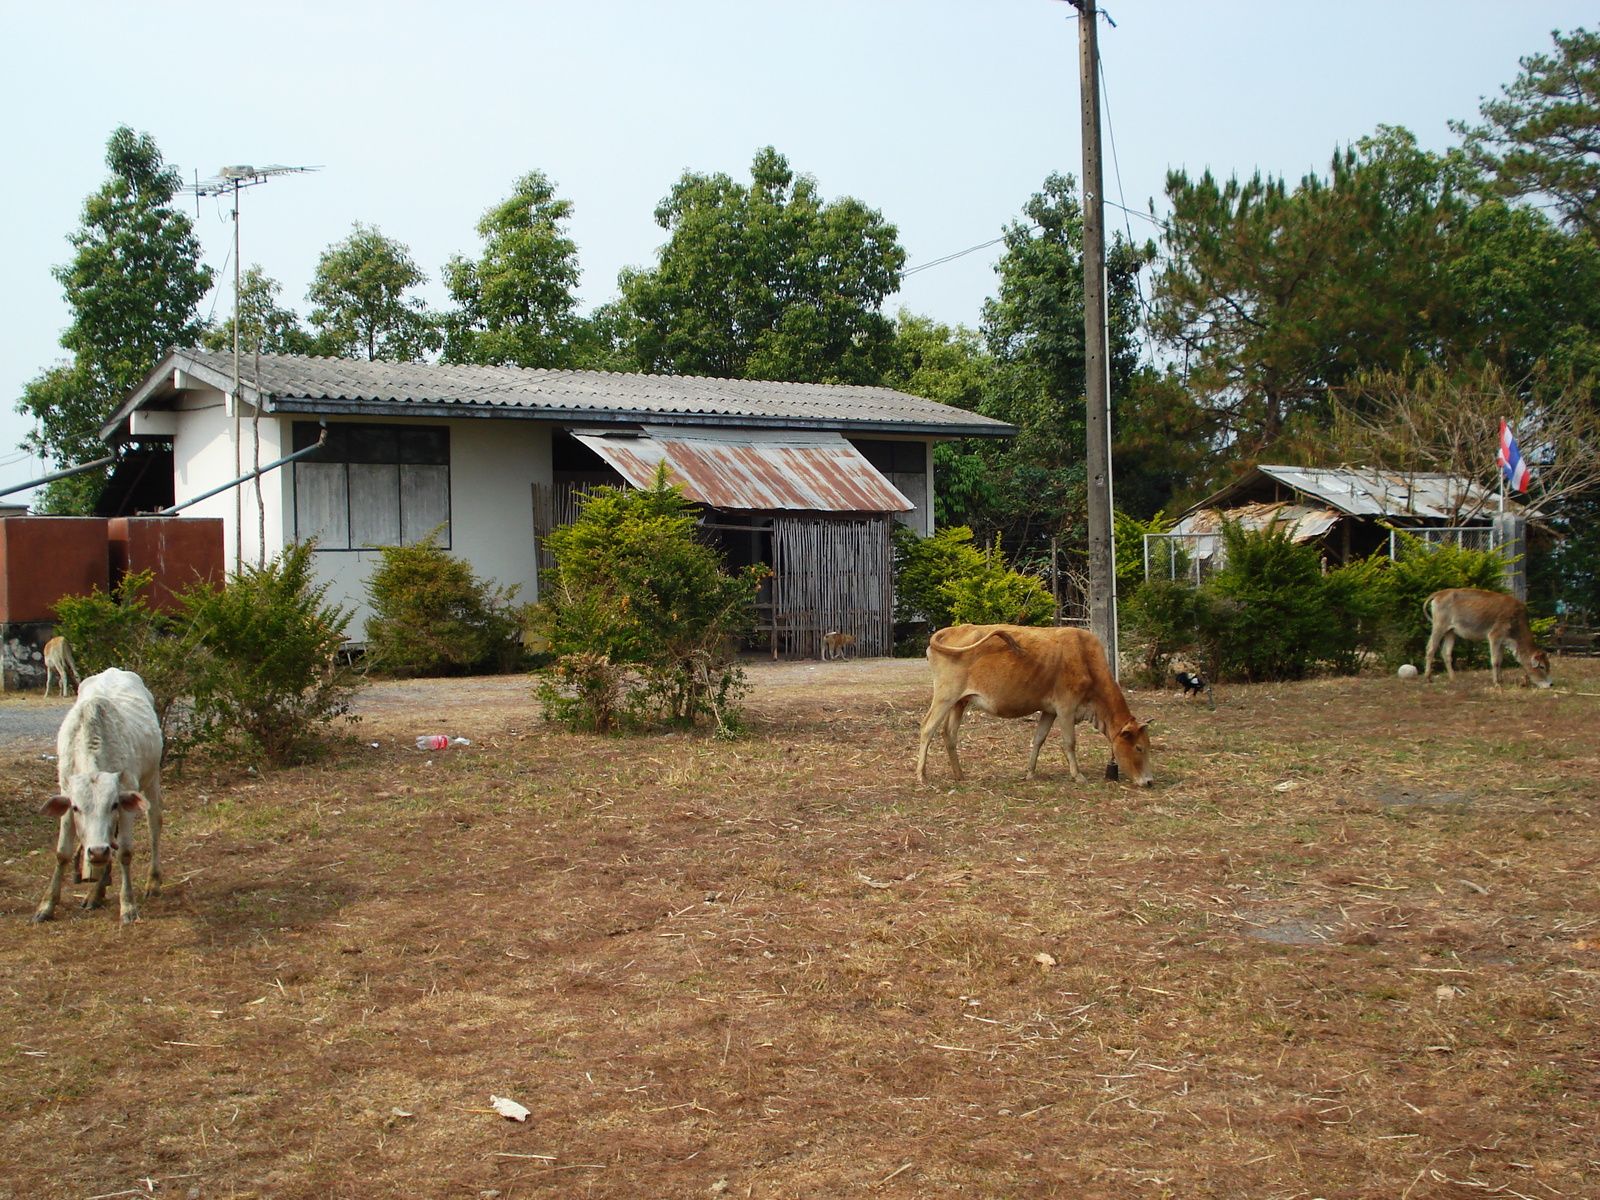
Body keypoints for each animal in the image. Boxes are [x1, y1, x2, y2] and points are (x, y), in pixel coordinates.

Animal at [915, 630, 1152, 790]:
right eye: (1139, 747)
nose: (1149, 781)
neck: (1085, 658)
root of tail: (951, 630)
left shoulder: (1050, 710)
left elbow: (1039, 739)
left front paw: (1030, 773)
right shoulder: (1066, 708)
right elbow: (1070, 743)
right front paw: (1078, 775)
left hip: (959, 702)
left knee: (949, 734)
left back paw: (959, 775)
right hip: (945, 696)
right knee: (927, 727)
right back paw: (922, 776)